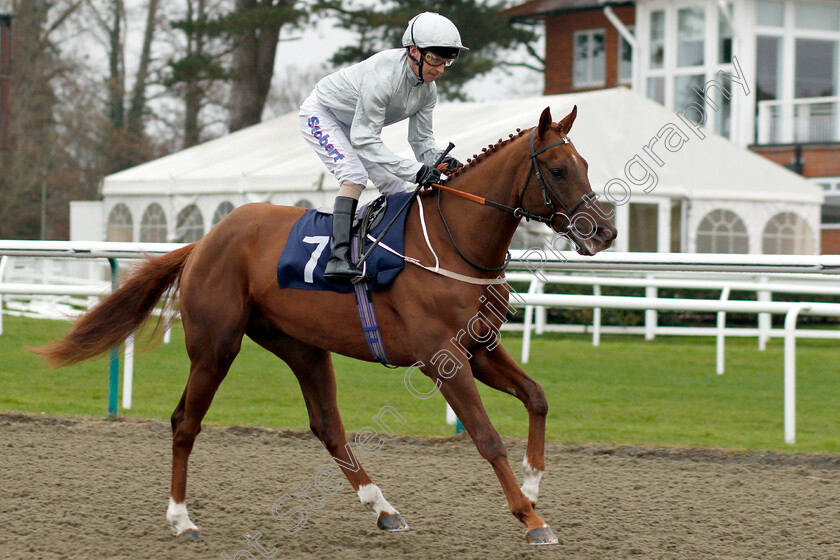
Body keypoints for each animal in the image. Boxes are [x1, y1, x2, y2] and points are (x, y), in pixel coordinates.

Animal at [34, 107, 616, 544]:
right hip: (215, 345)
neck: (455, 243)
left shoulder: (480, 348)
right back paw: (181, 519)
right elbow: (487, 437)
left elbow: (537, 397)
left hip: (302, 346)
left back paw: (383, 508)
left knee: (327, 426)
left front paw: (534, 485)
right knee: (184, 422)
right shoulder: (443, 359)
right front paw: (531, 518)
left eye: (586, 162)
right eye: (558, 170)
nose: (604, 231)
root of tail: (204, 241)